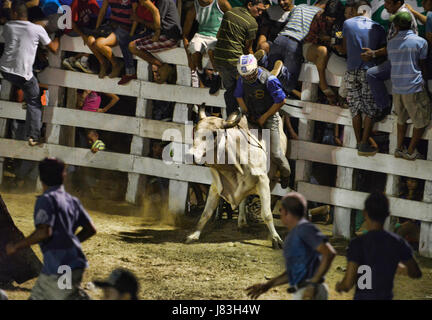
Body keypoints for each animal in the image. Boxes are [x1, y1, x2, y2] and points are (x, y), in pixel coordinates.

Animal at [186, 106, 286, 249]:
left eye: (215, 134)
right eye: (195, 129)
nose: (191, 155)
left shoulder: (263, 181)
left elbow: (267, 214)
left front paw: (276, 239)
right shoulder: (217, 185)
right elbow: (207, 212)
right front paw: (194, 235)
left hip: (272, 179)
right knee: (243, 199)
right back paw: (242, 221)